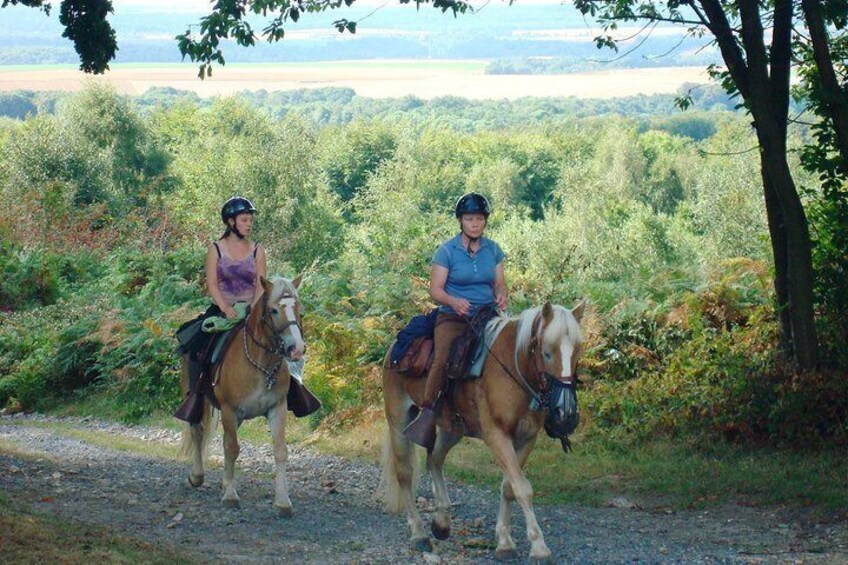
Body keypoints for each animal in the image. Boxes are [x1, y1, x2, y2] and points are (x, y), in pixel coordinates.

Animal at [179, 274, 304, 516]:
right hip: (195, 396)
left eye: (298, 309)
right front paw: (230, 496)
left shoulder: (277, 408)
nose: (297, 349)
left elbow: (280, 450)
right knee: (197, 430)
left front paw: (283, 501)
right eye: (274, 310)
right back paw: (197, 476)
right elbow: (232, 448)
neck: (260, 363)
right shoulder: (229, 408)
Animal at [382, 300, 588, 560]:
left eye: (577, 352)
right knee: (404, 473)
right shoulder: (496, 435)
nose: (566, 413)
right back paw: (419, 534)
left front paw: (505, 542)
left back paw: (442, 522)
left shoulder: (526, 438)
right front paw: (539, 546)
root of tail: (393, 348)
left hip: (452, 428)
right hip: (398, 421)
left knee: (435, 459)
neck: (513, 367)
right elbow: (522, 488)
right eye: (547, 352)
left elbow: (509, 487)